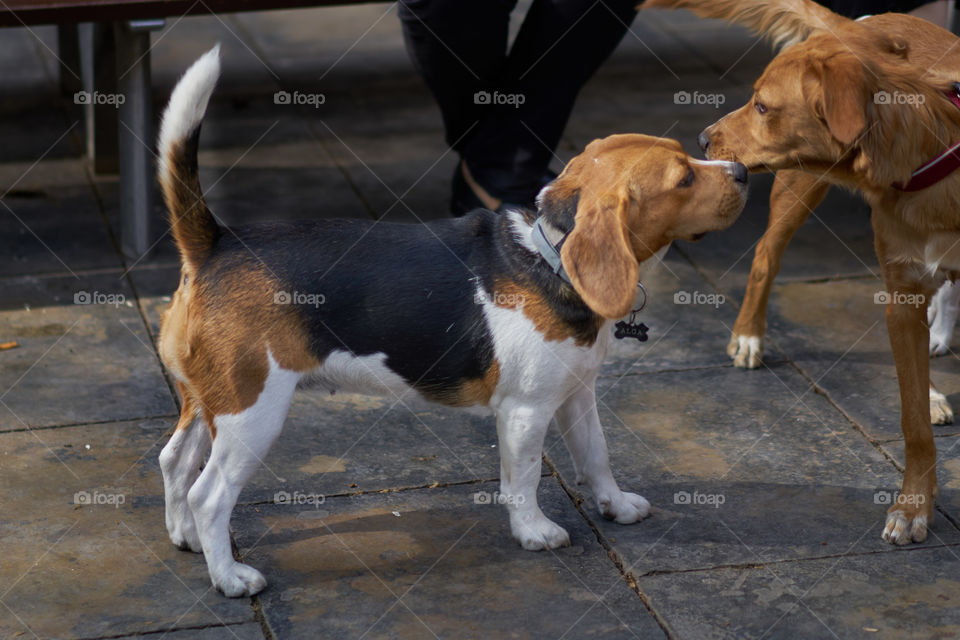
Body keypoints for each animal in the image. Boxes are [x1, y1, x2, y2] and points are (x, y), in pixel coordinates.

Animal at [640, 0, 960, 544]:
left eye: (762, 106)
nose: (701, 139)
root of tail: (861, 23)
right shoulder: (901, 299)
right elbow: (912, 421)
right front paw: (914, 506)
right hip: (797, 186)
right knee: (765, 257)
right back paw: (749, 335)